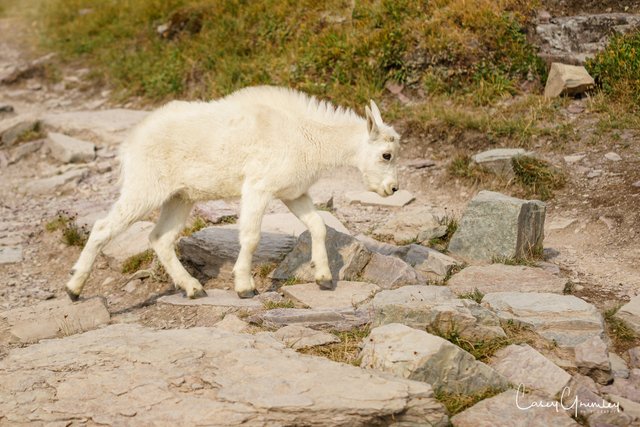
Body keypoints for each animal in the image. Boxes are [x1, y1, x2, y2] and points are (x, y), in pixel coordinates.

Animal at [67, 86, 402, 300]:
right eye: (386, 155)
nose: (393, 188)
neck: (308, 136)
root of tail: (131, 141)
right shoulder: (258, 187)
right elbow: (251, 236)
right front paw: (245, 287)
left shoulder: (292, 193)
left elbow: (318, 226)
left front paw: (323, 277)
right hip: (144, 188)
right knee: (103, 227)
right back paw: (73, 289)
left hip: (180, 198)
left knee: (160, 238)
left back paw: (193, 288)